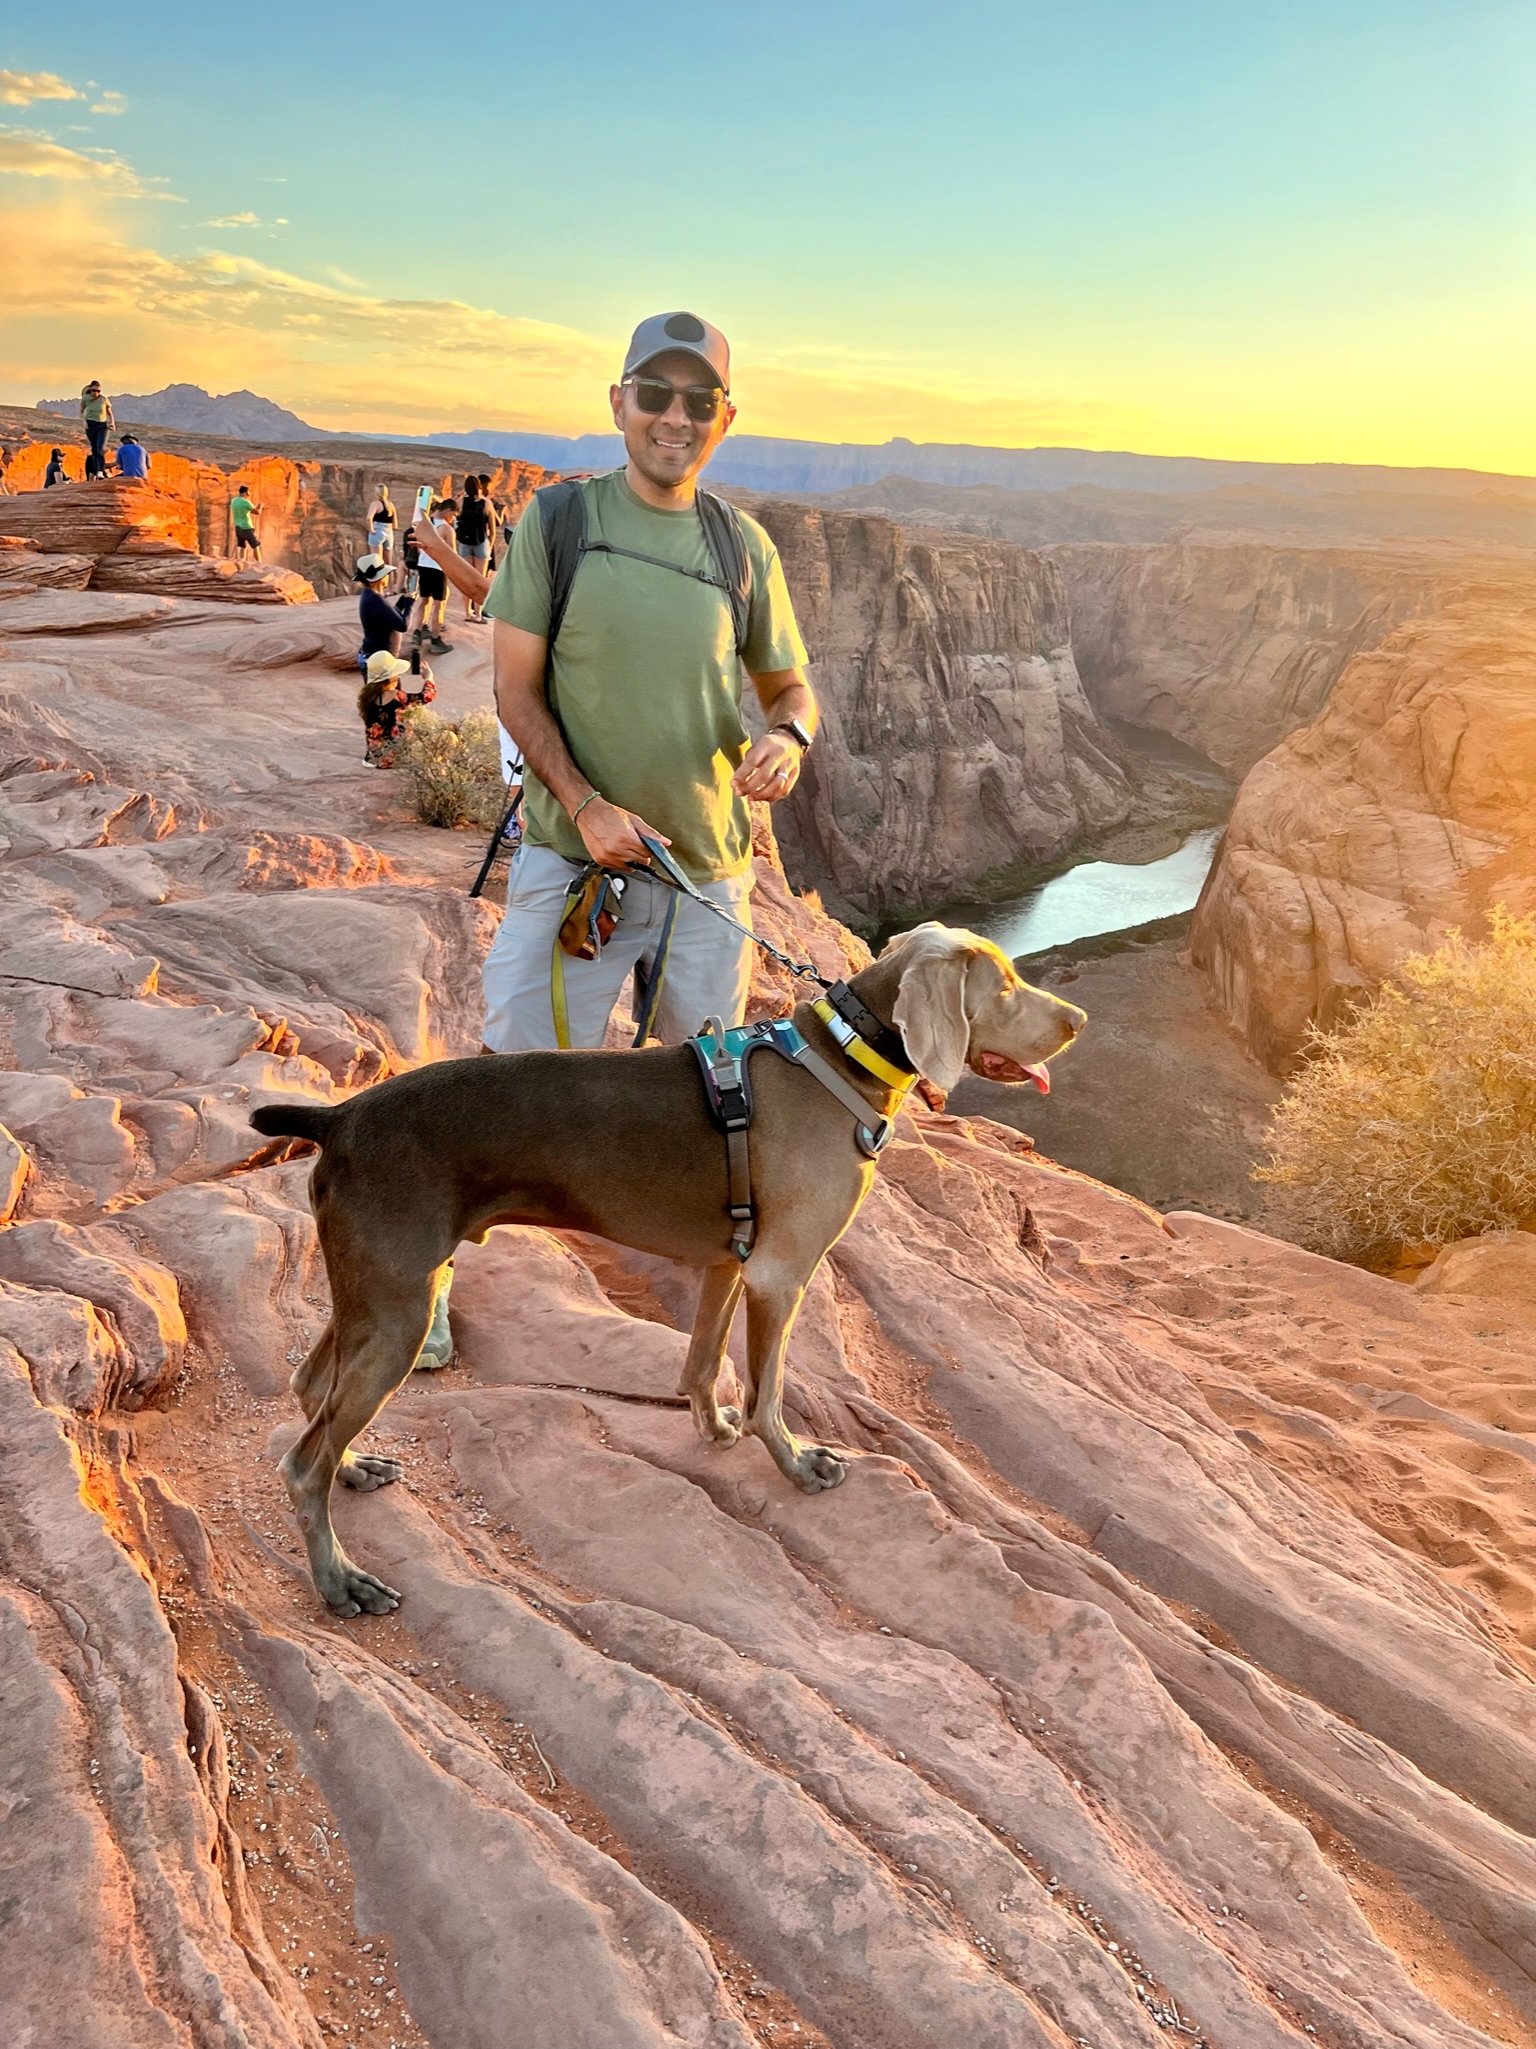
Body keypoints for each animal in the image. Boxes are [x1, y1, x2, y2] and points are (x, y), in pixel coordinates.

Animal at [252, 922, 1089, 1606]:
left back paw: (356, 1464)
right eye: (1004, 985)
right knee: (301, 1461)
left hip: (374, 1289)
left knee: (311, 1388)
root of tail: (338, 1116)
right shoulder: (781, 1273)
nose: (1078, 1021)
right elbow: (768, 1390)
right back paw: (340, 1580)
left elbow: (702, 1363)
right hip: (400, 1300)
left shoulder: (731, 1261)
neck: (841, 1054)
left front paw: (714, 1426)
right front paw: (795, 1463)